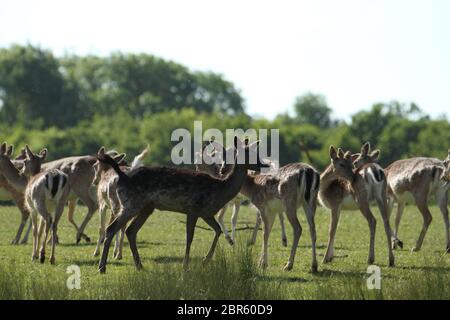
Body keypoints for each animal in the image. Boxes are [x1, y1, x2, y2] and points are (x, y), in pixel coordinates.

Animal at [96, 136, 268, 274]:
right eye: (252, 154)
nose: (263, 165)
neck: (221, 189)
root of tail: (122, 175)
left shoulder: (206, 213)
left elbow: (217, 230)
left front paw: (205, 260)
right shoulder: (193, 208)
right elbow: (189, 238)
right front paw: (186, 265)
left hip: (146, 207)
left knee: (131, 230)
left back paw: (139, 266)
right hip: (131, 203)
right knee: (112, 228)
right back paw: (102, 267)